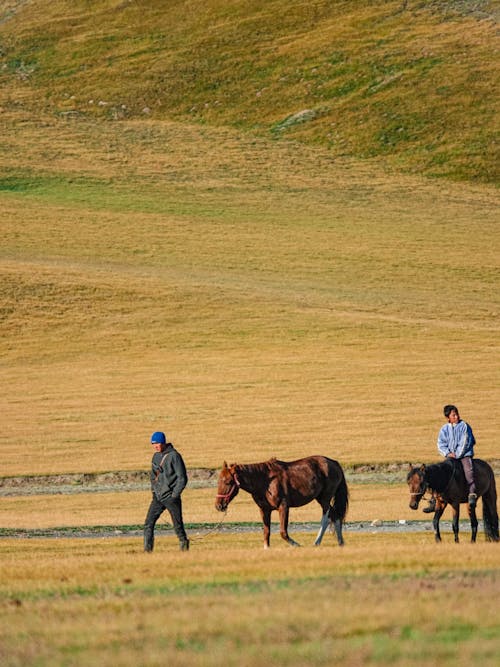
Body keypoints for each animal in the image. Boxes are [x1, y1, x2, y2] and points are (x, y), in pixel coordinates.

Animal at [214, 456, 348, 552]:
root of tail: (334, 463)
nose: (219, 505)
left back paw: (317, 542)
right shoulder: (264, 509)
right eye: (219, 481)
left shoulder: (283, 507)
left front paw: (296, 545)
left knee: (326, 518)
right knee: (335, 515)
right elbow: (266, 530)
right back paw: (340, 542)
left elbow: (283, 532)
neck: (265, 481)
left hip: (325, 498)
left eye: (228, 482)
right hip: (320, 498)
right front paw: (266, 547)